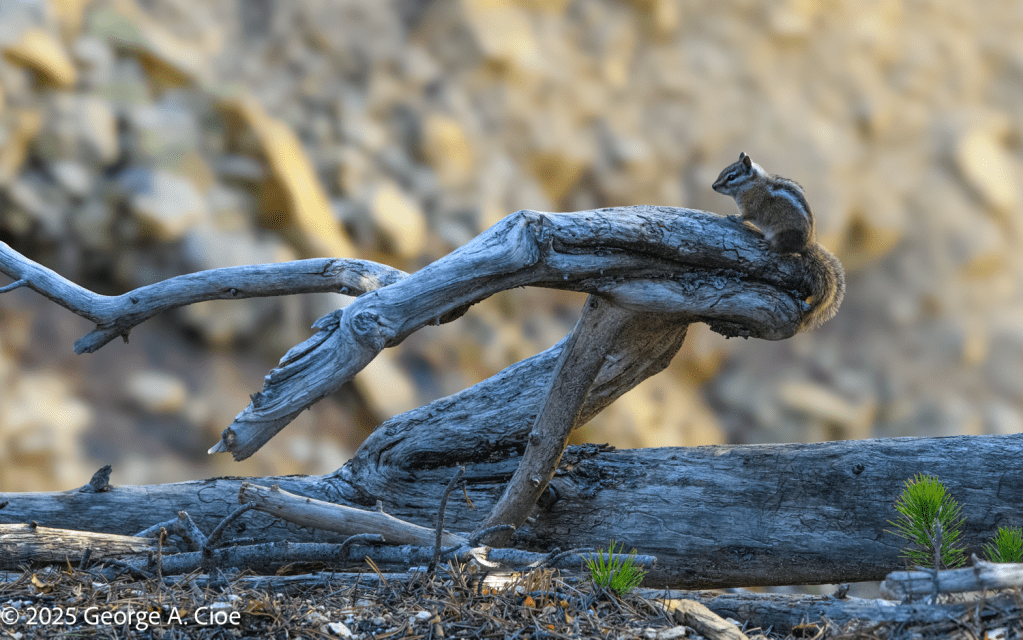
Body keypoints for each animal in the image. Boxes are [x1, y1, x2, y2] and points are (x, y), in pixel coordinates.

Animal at [712, 152, 845, 332]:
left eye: (731, 176)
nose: (713, 186)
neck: (752, 184)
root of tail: (805, 246)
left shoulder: (751, 208)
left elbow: (744, 217)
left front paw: (734, 217)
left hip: (781, 235)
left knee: (781, 251)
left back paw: (768, 246)